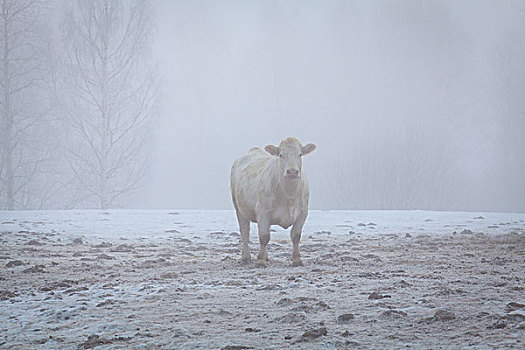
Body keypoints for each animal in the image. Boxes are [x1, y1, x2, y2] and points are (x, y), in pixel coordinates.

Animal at [229, 137, 316, 268]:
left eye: (300, 154)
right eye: (281, 155)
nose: (292, 172)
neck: (288, 196)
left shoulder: (303, 212)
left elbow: (295, 235)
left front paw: (297, 260)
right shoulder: (263, 212)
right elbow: (264, 236)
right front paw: (260, 261)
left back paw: (266, 256)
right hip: (239, 208)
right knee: (244, 232)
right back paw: (246, 257)